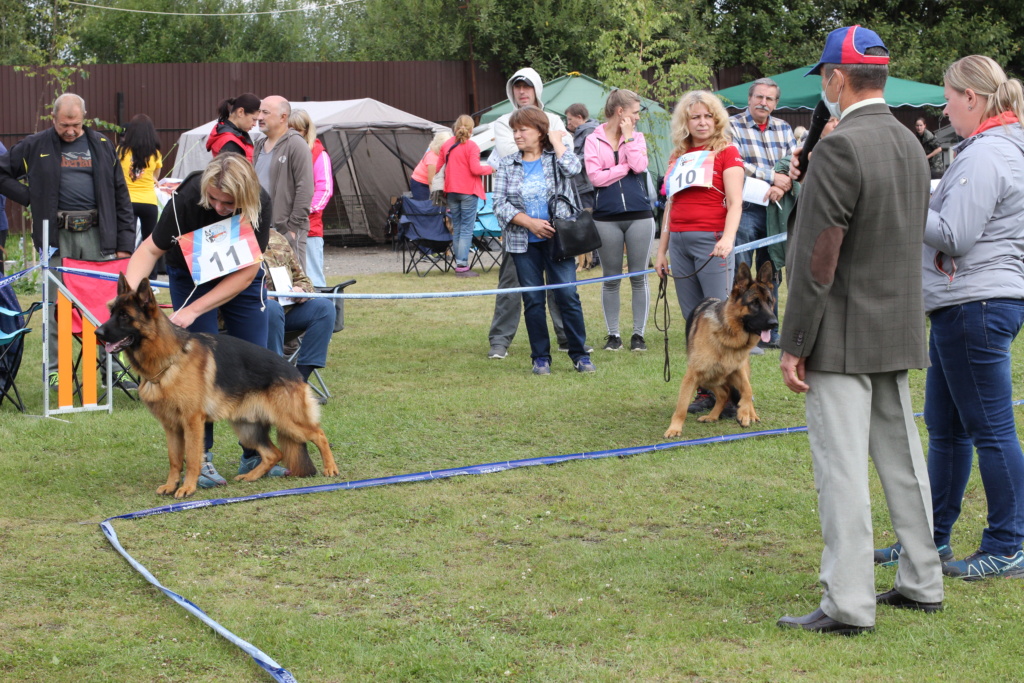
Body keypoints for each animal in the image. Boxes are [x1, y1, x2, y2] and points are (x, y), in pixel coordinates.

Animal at [96, 274, 337, 499]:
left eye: (124, 316)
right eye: (111, 313)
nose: (97, 333)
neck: (168, 359)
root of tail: (293, 371)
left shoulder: (192, 422)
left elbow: (193, 457)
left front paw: (188, 487)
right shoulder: (171, 426)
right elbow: (175, 459)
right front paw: (171, 484)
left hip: (287, 420)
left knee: (319, 435)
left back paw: (330, 468)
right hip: (247, 428)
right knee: (274, 453)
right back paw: (251, 476)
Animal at [663, 262, 774, 438]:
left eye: (770, 302)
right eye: (754, 303)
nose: (774, 323)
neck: (727, 335)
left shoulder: (738, 370)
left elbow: (747, 390)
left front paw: (744, 413)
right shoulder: (692, 376)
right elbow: (681, 407)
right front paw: (674, 428)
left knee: (732, 392)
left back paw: (750, 414)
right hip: (709, 376)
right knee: (724, 393)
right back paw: (713, 416)